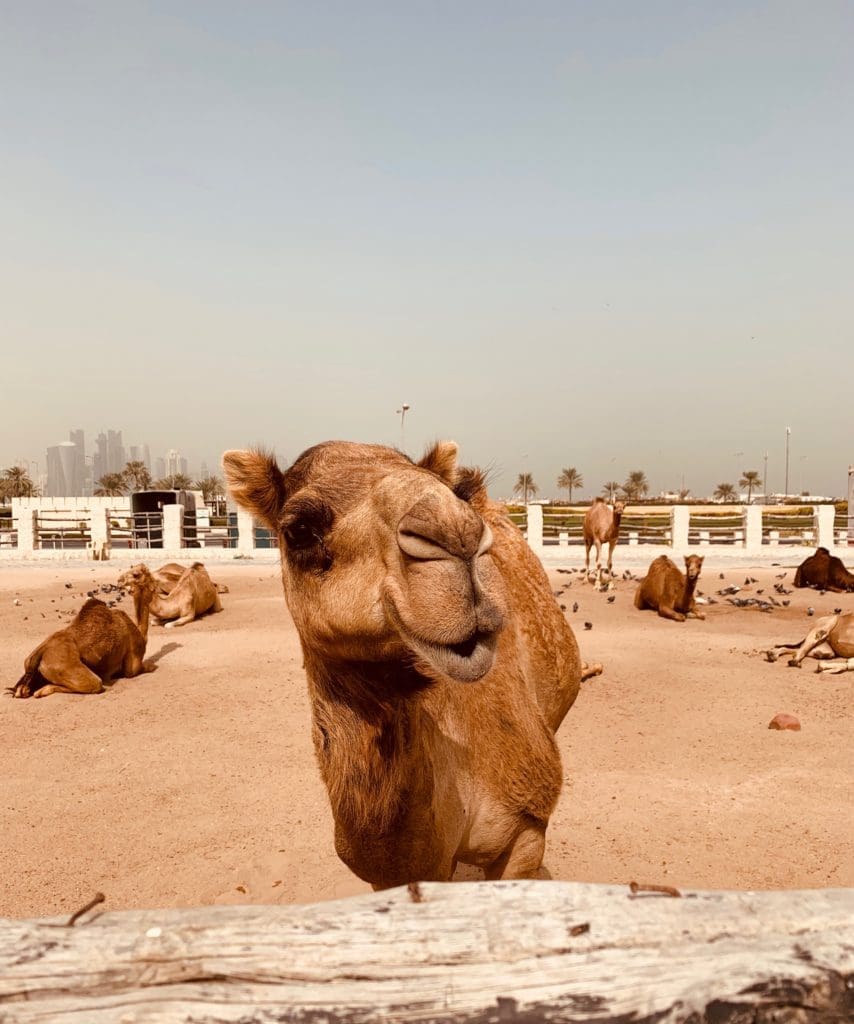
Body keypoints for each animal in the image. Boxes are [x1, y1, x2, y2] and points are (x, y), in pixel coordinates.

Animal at [7, 573, 157, 700]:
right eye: (150, 581)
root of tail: (38, 655)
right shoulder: (133, 665)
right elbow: (146, 668)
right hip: (69, 669)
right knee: (95, 683)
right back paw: (42, 691)